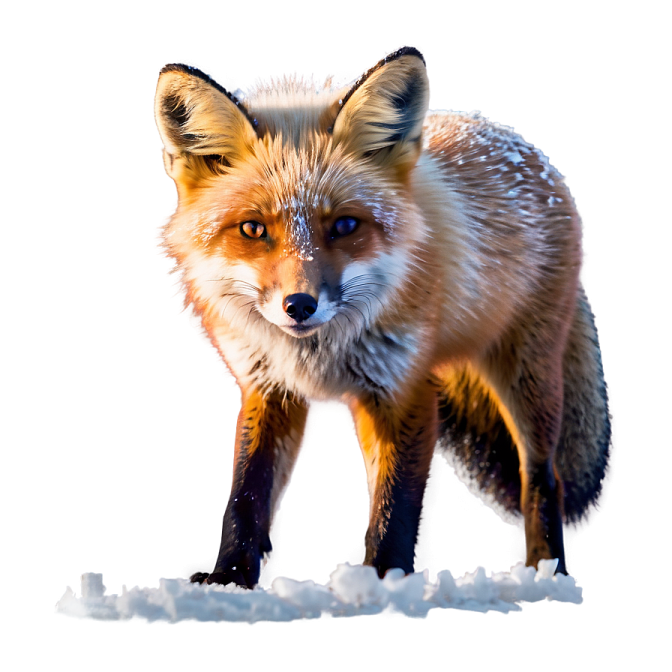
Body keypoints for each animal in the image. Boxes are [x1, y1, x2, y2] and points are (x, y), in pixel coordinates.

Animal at [153, 44, 617, 588]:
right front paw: (233, 575)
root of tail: (515, 140)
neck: (317, 353)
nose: (299, 305)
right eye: (252, 229)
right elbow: (249, 489)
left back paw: (546, 572)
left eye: (345, 226)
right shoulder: (269, 386)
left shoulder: (403, 387)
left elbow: (396, 505)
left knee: (545, 476)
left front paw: (384, 582)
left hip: (527, 379)